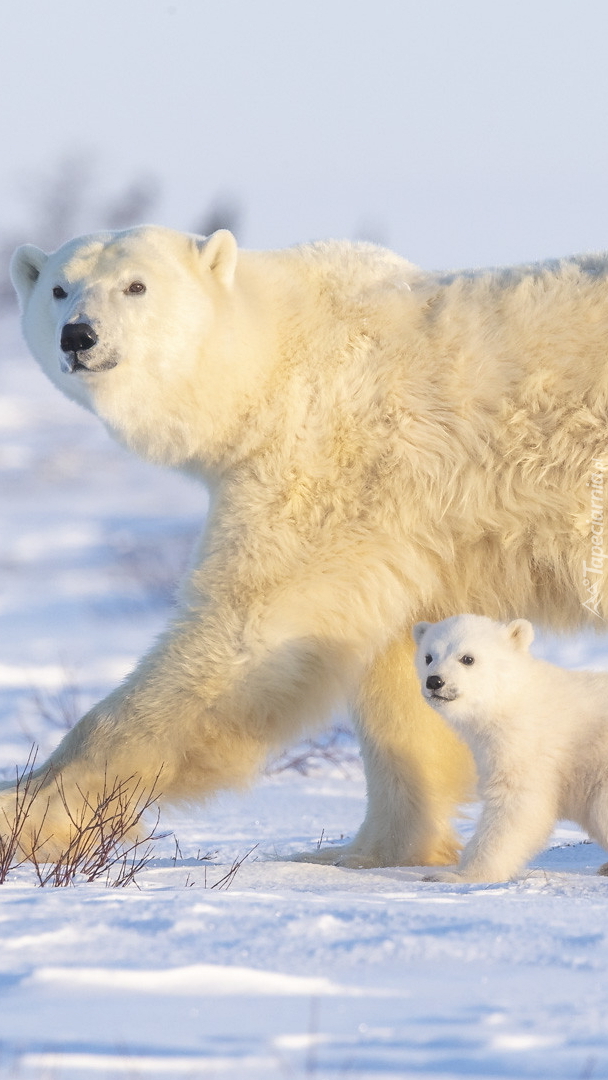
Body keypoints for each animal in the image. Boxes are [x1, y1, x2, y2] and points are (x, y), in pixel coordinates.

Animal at [416, 617, 608, 885]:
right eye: (428, 656)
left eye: (467, 658)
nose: (435, 681)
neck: (510, 698)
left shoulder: (526, 742)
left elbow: (516, 804)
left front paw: (457, 875)